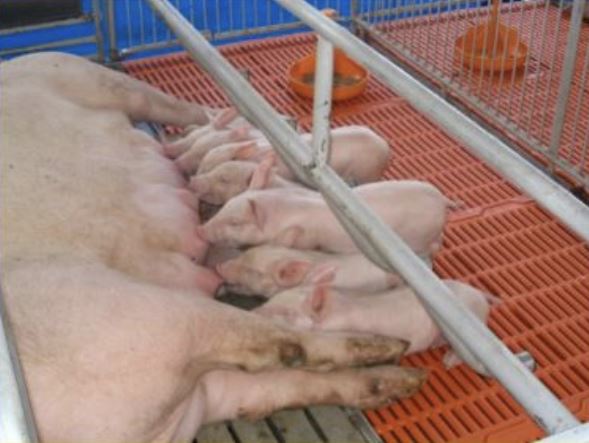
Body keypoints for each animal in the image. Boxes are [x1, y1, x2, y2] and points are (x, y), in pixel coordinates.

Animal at [198, 180, 454, 256]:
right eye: (224, 206)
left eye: (235, 222)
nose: (201, 230)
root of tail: (442, 200)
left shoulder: (303, 236)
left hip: (422, 235)